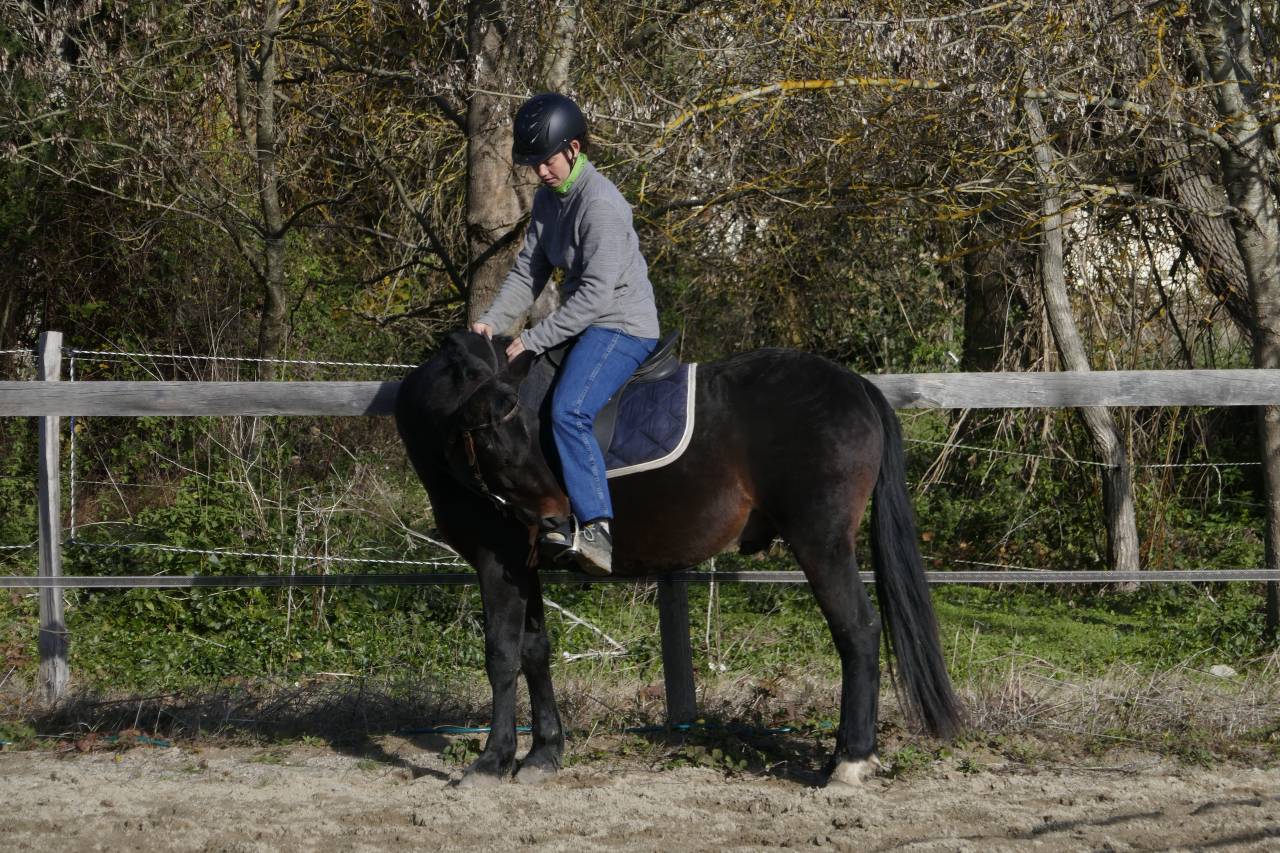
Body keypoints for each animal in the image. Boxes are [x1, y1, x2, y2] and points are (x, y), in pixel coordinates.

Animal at [394, 330, 962, 788]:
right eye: (493, 436)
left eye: (523, 432)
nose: (558, 516)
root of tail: (856, 385)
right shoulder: (524, 564)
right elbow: (535, 651)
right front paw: (543, 754)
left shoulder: (498, 562)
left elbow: (502, 655)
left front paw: (492, 760)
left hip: (821, 541)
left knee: (858, 632)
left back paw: (850, 761)